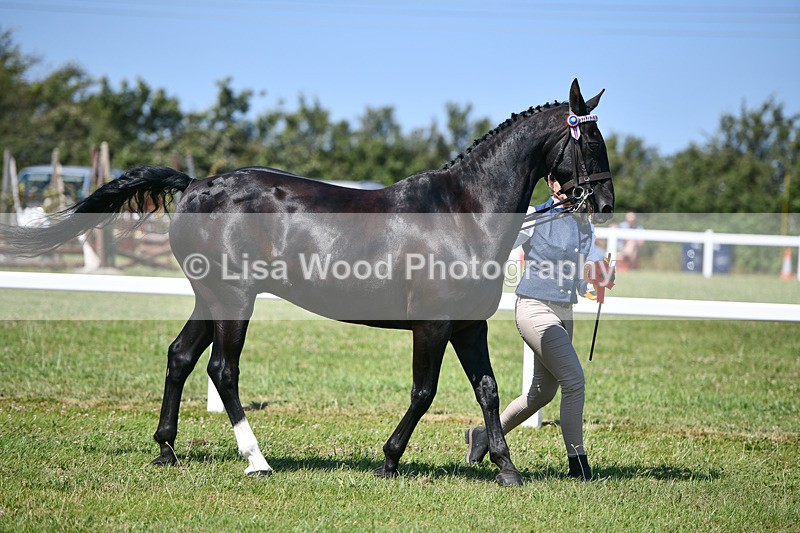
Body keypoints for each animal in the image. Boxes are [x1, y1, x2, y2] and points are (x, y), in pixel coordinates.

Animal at [1, 79, 614, 486]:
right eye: (590, 142)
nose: (604, 203)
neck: (462, 212)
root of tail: (196, 183)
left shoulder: (467, 326)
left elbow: (487, 390)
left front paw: (506, 469)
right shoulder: (432, 325)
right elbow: (424, 392)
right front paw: (389, 459)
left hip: (211, 298)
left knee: (179, 356)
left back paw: (166, 450)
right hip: (234, 300)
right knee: (223, 371)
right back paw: (257, 460)